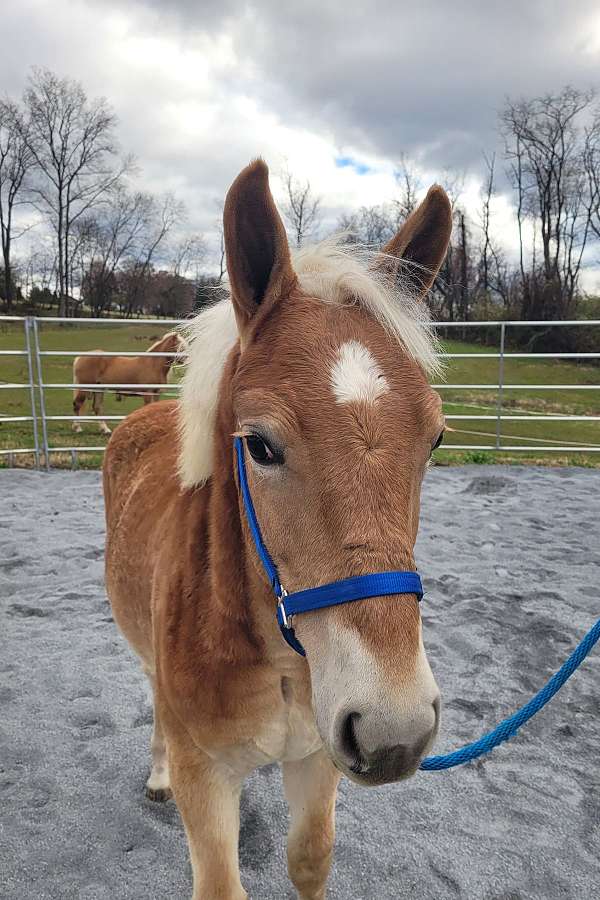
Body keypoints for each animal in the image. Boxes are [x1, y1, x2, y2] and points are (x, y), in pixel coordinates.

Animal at [103, 159, 452, 900]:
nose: (395, 728)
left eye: (435, 439)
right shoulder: (205, 779)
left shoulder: (318, 760)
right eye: (259, 445)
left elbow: (309, 859)